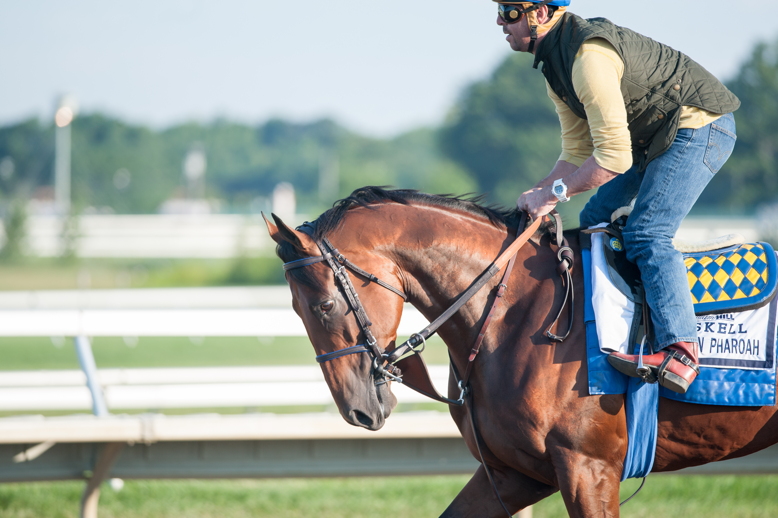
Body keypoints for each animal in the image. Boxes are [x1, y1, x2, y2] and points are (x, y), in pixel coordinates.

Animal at [262, 188, 776, 518]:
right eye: (296, 309)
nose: (358, 410)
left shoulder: (588, 467)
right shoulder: (516, 472)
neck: (514, 315)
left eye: (324, 305)